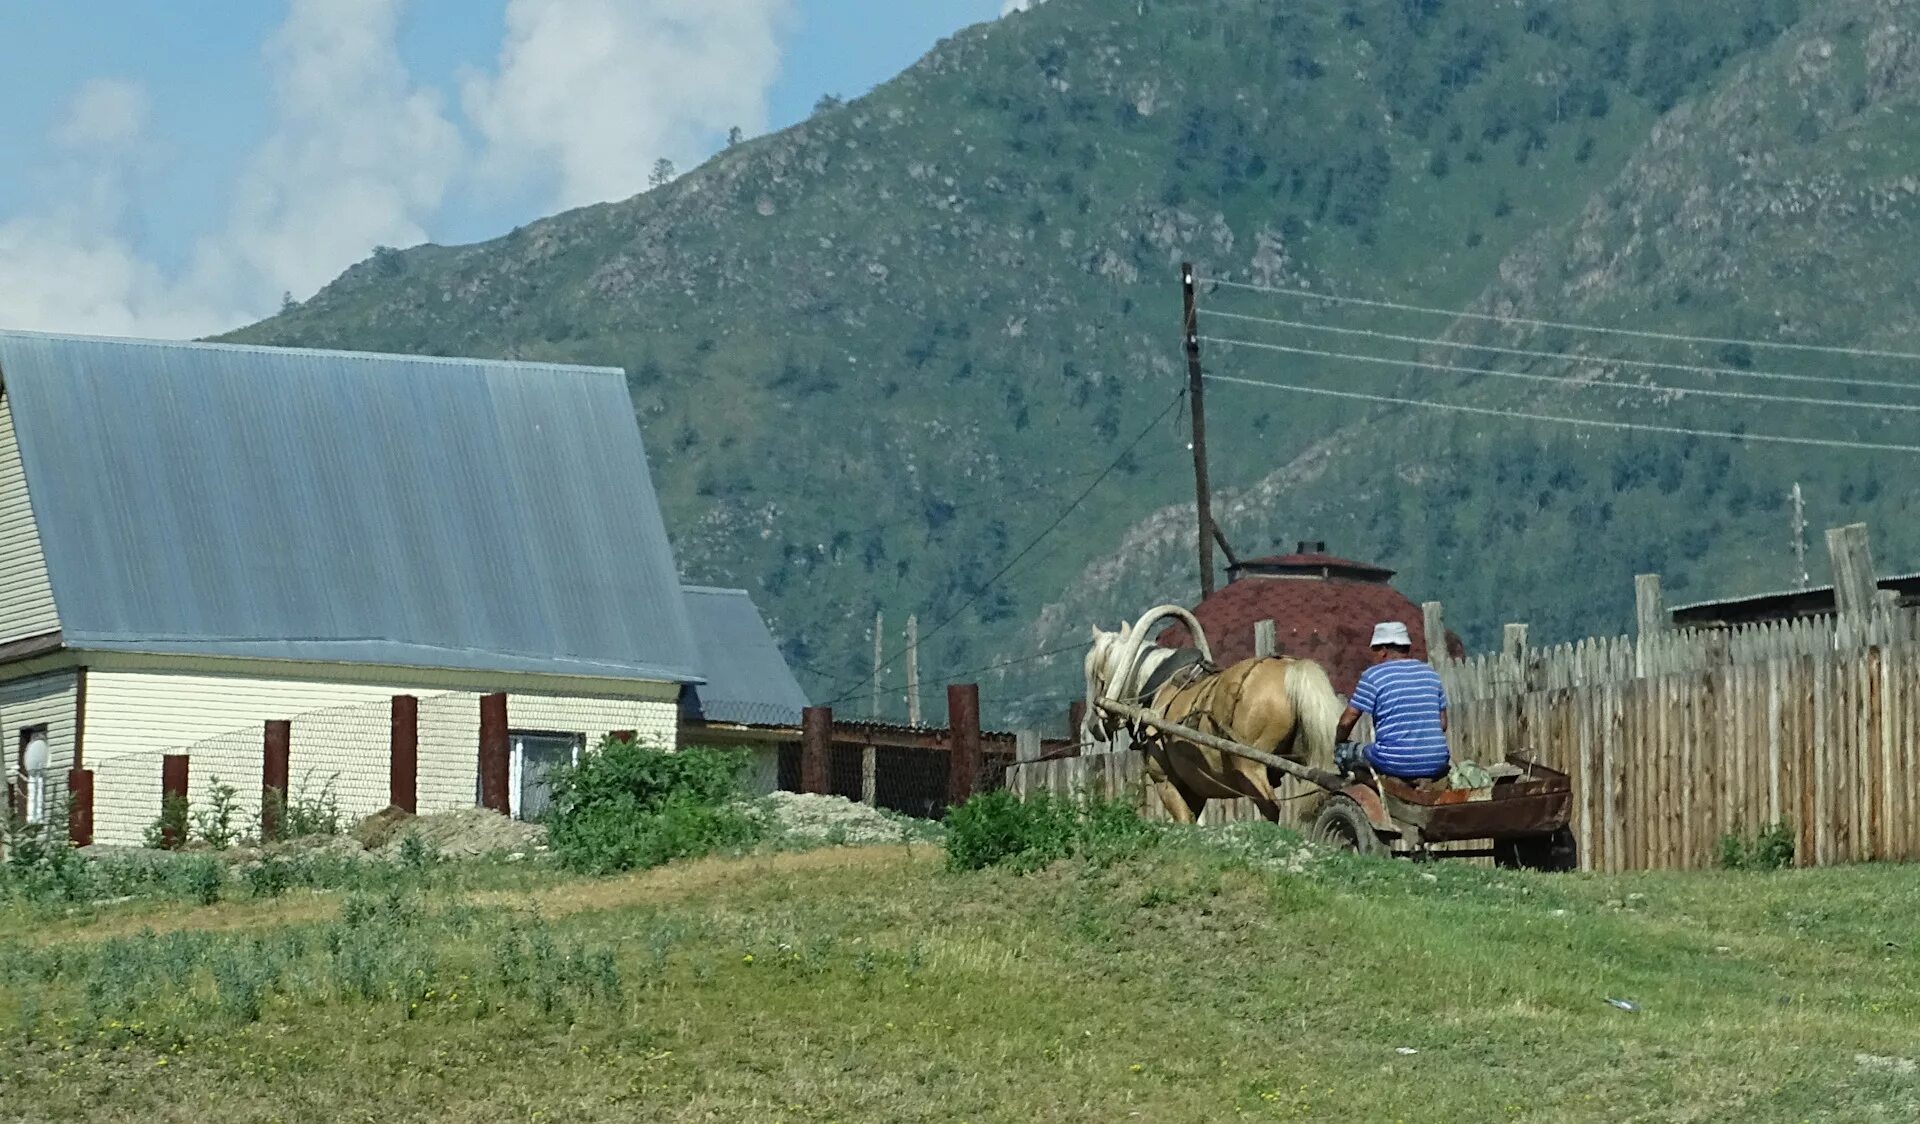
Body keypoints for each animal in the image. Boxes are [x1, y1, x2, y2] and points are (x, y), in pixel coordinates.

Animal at [1090, 603, 1344, 822]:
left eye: (1095, 677)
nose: (1093, 725)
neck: (1159, 686)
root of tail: (1291, 668)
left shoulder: (1166, 781)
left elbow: (1184, 821)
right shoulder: (1195, 790)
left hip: (1250, 766)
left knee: (1272, 809)